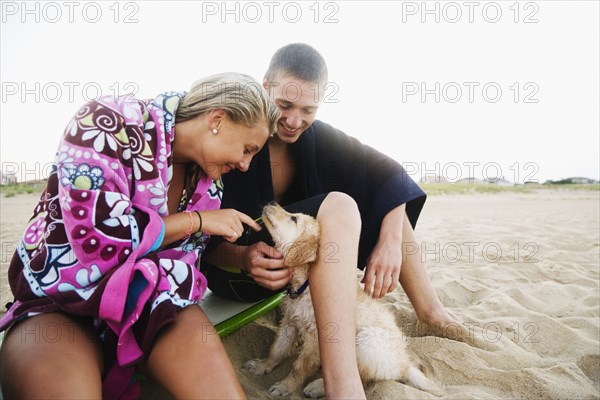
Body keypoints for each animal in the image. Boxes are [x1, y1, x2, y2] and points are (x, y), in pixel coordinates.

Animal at [241, 205, 442, 398]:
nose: (270, 203)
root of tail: (404, 365)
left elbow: (299, 367)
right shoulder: (289, 322)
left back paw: (317, 387)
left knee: (361, 377)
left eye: (294, 218)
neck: (305, 285)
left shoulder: (316, 337)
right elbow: (277, 349)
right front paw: (262, 366)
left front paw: (285, 386)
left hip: (366, 341)